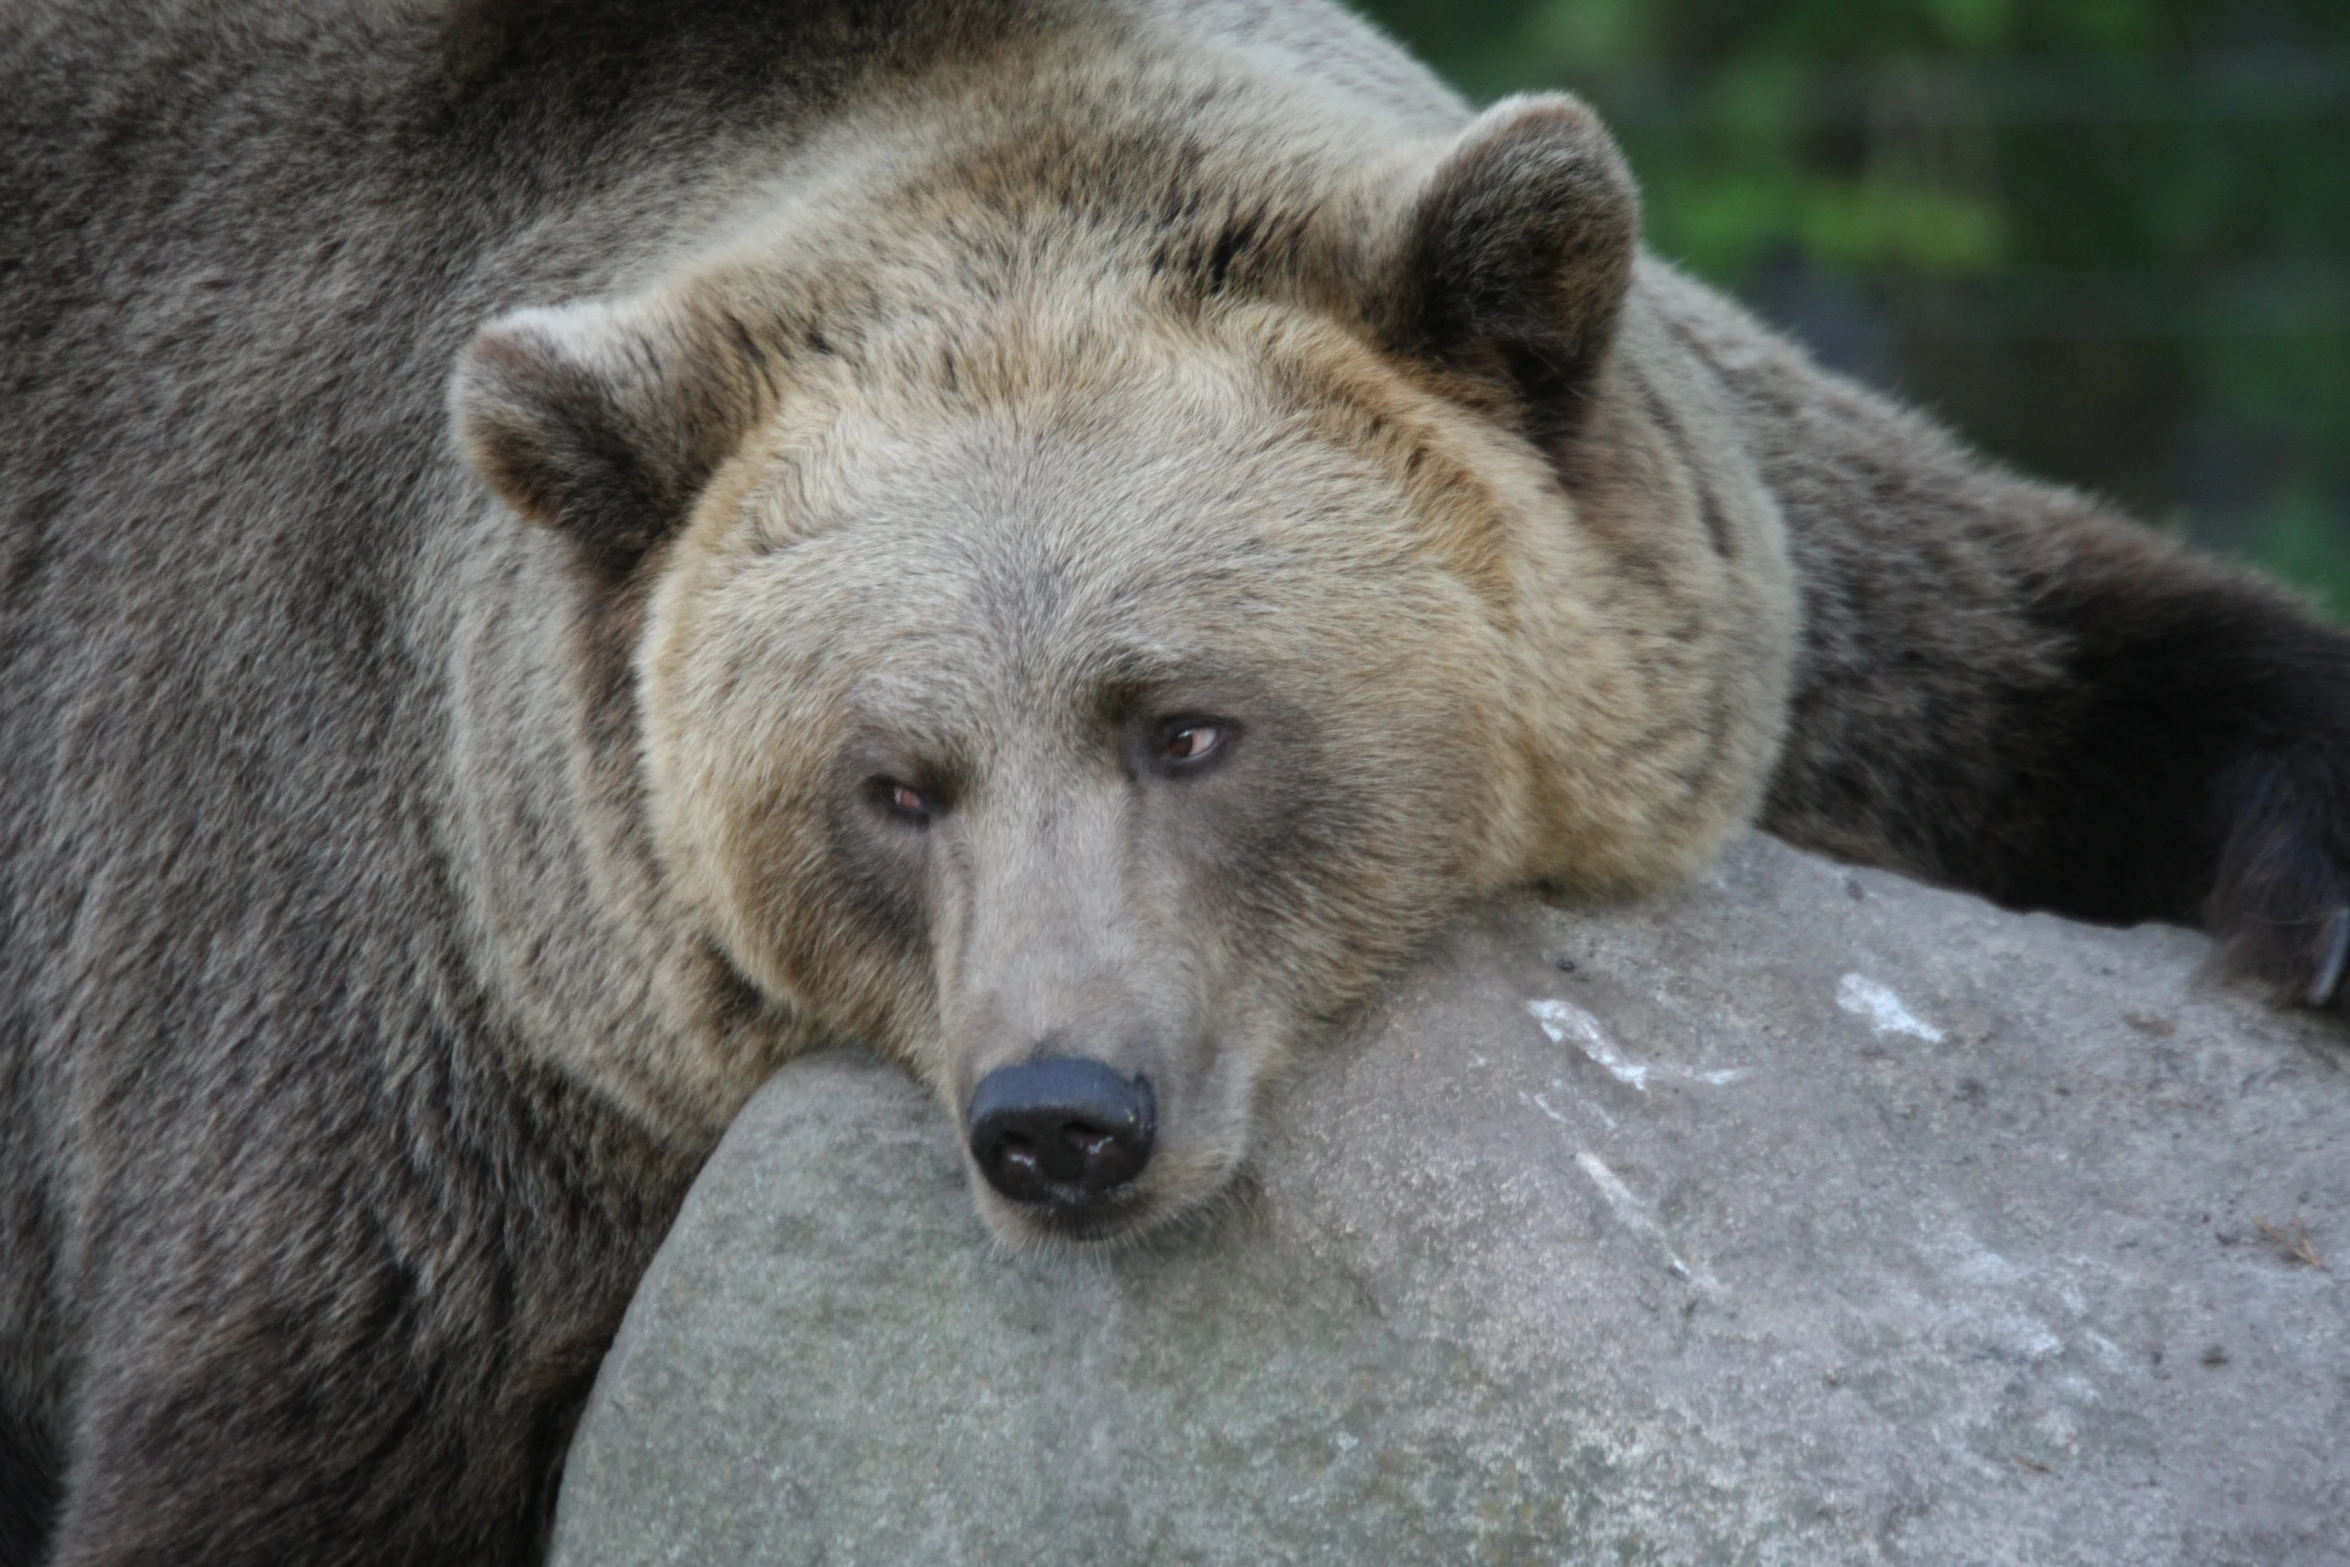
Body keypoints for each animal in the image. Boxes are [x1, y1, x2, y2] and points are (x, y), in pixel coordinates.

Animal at [0, 3, 2340, 1567]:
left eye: (1186, 723)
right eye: (893, 781)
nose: (1061, 1116)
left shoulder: (1744, 561)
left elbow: (2044, 636)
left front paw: (2310, 899)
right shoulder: (394, 980)